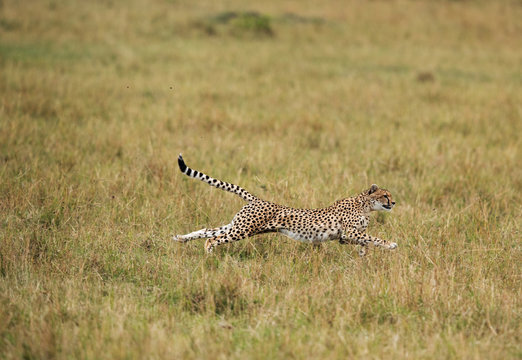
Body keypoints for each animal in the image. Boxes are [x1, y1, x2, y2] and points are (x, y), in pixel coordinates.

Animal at [173, 155, 396, 256]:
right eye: (385, 195)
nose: (393, 202)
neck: (365, 204)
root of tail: (257, 199)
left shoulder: (344, 237)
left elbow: (365, 241)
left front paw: (363, 256)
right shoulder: (350, 232)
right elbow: (372, 238)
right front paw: (390, 244)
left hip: (238, 225)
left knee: (207, 230)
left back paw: (181, 238)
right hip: (243, 230)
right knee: (212, 239)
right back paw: (209, 255)